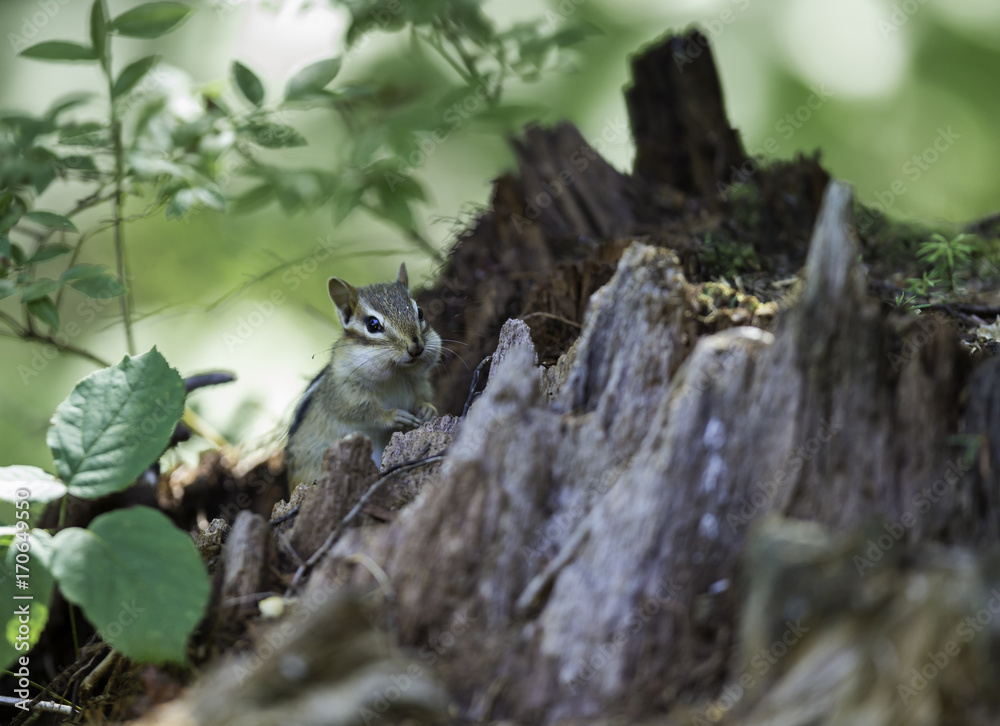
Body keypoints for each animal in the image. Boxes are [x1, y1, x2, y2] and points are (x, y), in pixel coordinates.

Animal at [285, 263, 441, 486]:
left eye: (420, 312)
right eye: (373, 325)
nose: (416, 348)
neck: (396, 374)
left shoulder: (419, 381)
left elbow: (422, 396)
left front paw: (427, 408)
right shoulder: (344, 391)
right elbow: (361, 411)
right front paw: (393, 415)